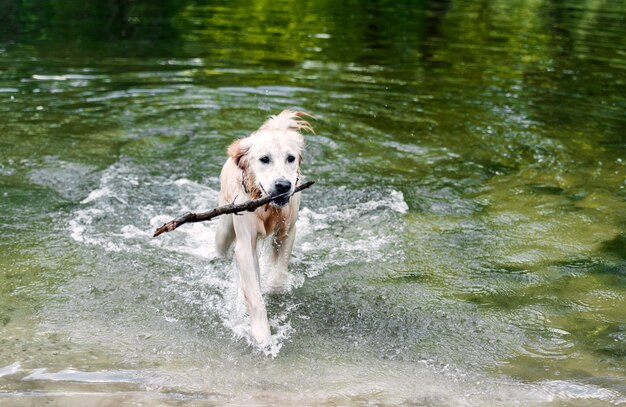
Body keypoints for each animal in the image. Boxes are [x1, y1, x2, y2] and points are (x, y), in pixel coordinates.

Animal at [214, 110, 312, 346]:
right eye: (264, 159)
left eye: (290, 158)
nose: (283, 186)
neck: (268, 208)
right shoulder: (245, 244)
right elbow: (254, 295)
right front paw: (261, 334)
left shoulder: (288, 231)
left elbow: (278, 276)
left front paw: (273, 288)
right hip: (224, 228)